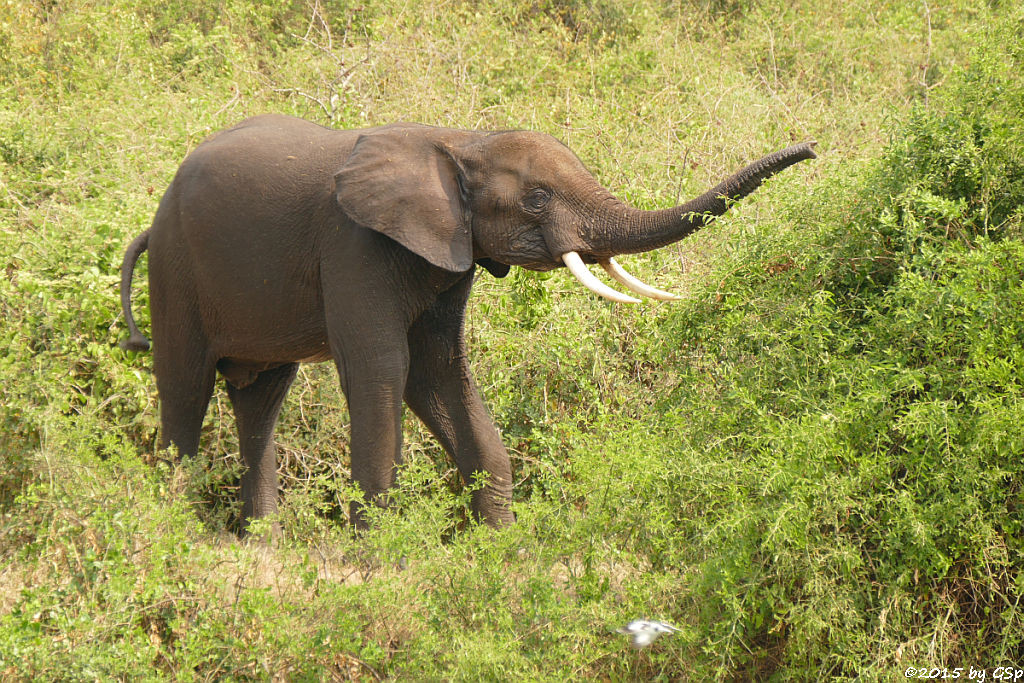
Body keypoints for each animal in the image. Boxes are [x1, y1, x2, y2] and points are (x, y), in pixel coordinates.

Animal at [117, 114, 815, 532]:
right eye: (537, 197)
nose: (812, 145)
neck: (459, 140)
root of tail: (153, 220)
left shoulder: (447, 258)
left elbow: (440, 373)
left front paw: (500, 546)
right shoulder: (354, 246)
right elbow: (384, 370)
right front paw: (379, 557)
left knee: (260, 397)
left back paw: (261, 547)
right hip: (176, 271)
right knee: (185, 389)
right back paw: (176, 531)